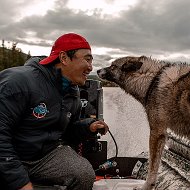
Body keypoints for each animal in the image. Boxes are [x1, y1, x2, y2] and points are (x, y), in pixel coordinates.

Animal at [97, 55, 189, 189]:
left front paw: (146, 186)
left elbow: (152, 167)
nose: (97, 70)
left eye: (113, 66)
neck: (150, 81)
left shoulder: (157, 132)